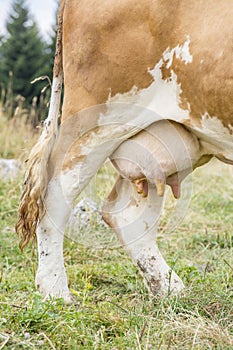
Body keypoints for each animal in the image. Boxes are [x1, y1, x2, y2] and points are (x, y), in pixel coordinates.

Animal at [15, 0, 232, 302]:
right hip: (95, 117)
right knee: (54, 196)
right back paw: (56, 291)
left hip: (157, 140)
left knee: (125, 212)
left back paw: (169, 290)